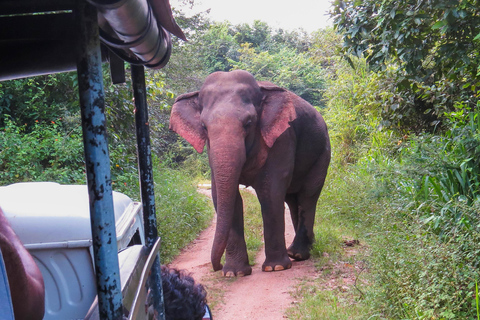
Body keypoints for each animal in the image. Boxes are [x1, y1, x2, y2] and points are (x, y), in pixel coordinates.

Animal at [171, 70, 332, 278]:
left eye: (248, 123)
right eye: (204, 127)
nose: (216, 266)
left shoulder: (282, 137)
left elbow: (270, 192)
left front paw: (275, 267)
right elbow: (224, 196)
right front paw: (234, 273)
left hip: (323, 154)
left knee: (307, 195)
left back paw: (298, 254)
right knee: (292, 199)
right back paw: (300, 251)